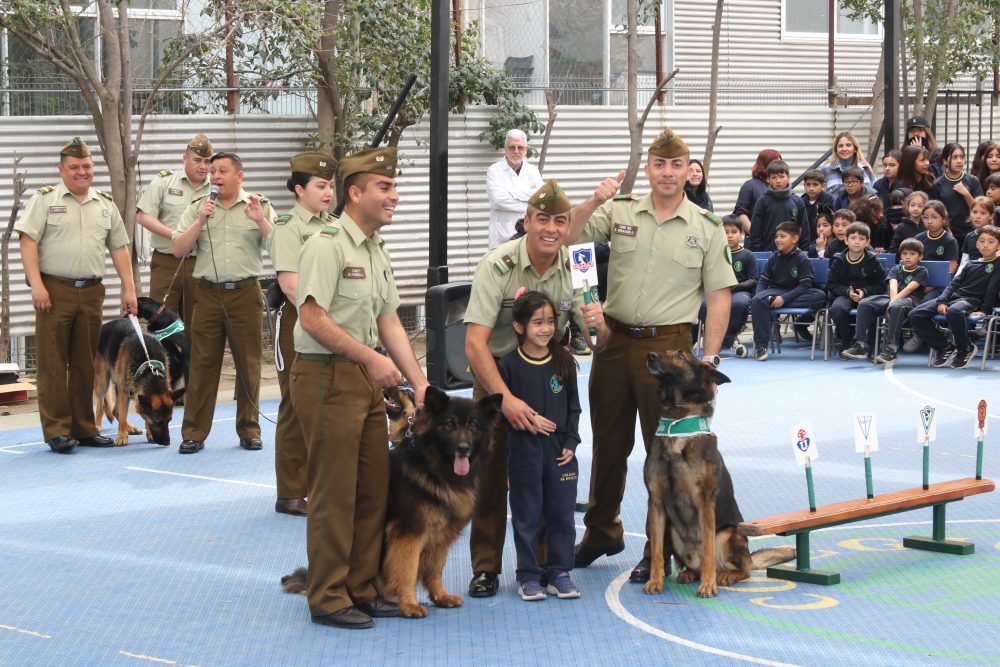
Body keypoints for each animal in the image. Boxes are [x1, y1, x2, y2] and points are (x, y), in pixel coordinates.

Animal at [93, 318, 175, 446]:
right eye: (157, 421)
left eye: (169, 420)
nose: (167, 443)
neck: (148, 368)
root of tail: (104, 325)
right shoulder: (125, 391)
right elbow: (123, 416)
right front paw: (122, 437)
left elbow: (142, 414)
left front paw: (149, 433)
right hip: (103, 382)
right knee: (101, 404)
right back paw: (97, 425)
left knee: (115, 411)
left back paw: (131, 428)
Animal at [280, 386, 500, 620]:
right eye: (449, 424)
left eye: (473, 426)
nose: (463, 448)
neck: (433, 469)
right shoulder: (409, 535)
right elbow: (407, 571)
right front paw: (409, 604)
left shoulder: (441, 535)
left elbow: (435, 569)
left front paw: (440, 596)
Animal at [640, 352, 796, 596]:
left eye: (680, 356)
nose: (651, 355)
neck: (678, 423)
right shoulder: (655, 502)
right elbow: (656, 551)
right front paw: (655, 581)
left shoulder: (704, 502)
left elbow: (708, 552)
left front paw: (708, 585)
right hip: (673, 532)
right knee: (694, 565)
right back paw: (690, 573)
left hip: (728, 534)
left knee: (742, 569)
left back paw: (725, 576)